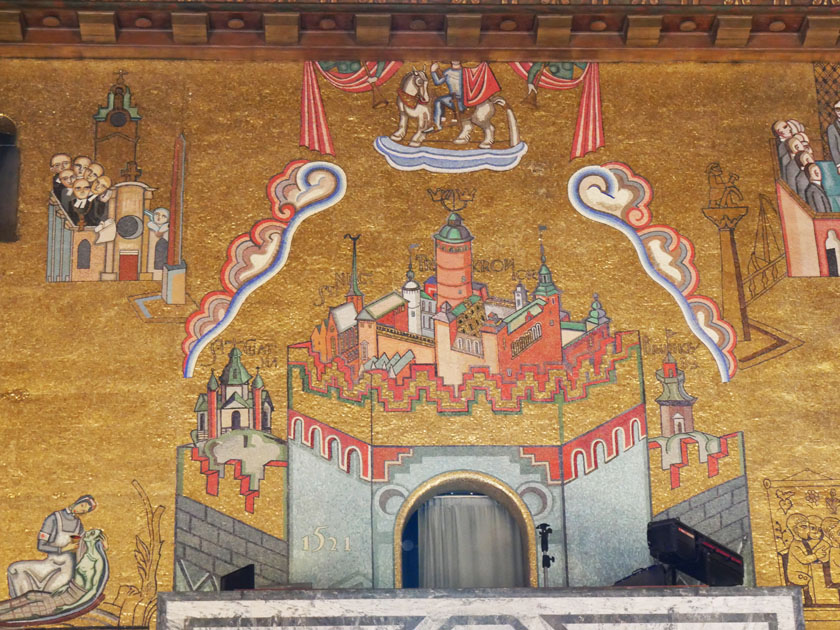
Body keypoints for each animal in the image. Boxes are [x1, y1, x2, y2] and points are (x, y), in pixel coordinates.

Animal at [392, 68, 520, 151]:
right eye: (419, 82)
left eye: (426, 82)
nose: (425, 99)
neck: (411, 100)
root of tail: (490, 100)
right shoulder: (403, 113)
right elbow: (402, 124)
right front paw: (397, 136)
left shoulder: (424, 116)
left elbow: (421, 128)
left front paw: (416, 140)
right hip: (467, 118)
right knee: (468, 127)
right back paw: (460, 140)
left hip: (480, 119)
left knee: (490, 128)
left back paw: (485, 144)